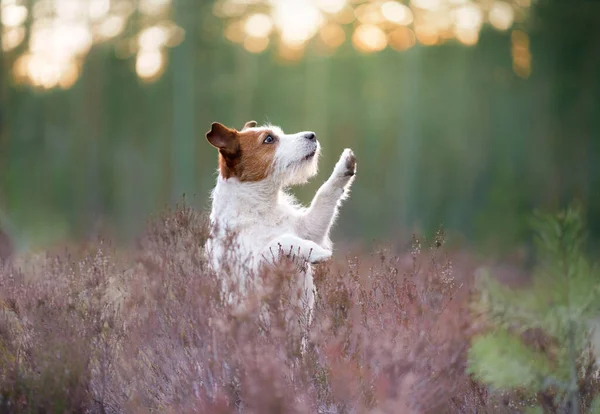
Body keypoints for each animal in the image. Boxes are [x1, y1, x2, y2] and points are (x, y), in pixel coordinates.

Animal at [206, 121, 356, 326]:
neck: (261, 207)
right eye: (269, 139)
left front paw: (343, 166)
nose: (312, 135)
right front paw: (316, 252)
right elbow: (280, 241)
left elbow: (324, 195)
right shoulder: (253, 270)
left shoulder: (309, 228)